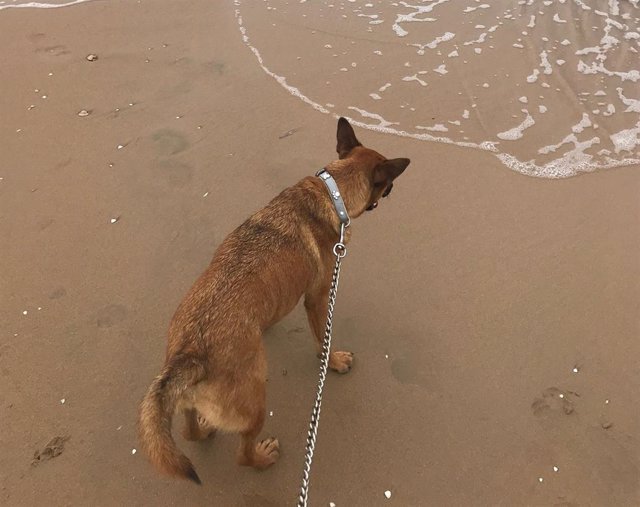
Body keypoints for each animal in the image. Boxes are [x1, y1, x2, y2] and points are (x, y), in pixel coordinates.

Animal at [138, 116, 412, 484]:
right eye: (387, 184)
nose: (393, 192)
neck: (333, 192)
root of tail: (191, 355)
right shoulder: (318, 297)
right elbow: (322, 339)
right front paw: (333, 361)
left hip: (193, 404)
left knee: (189, 432)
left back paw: (205, 430)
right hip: (255, 402)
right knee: (242, 454)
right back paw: (262, 457)